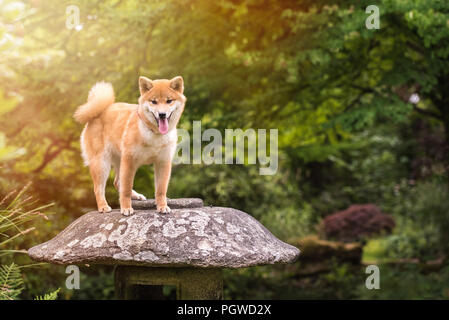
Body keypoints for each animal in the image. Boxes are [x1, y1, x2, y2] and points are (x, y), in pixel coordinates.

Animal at [73, 75, 186, 215]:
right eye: (153, 102)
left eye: (169, 100)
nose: (162, 114)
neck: (154, 134)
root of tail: (98, 113)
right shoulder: (129, 160)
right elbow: (126, 189)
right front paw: (126, 208)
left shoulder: (163, 162)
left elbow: (161, 190)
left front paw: (162, 206)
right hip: (102, 164)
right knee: (99, 188)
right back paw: (103, 206)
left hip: (119, 161)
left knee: (117, 183)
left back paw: (137, 196)